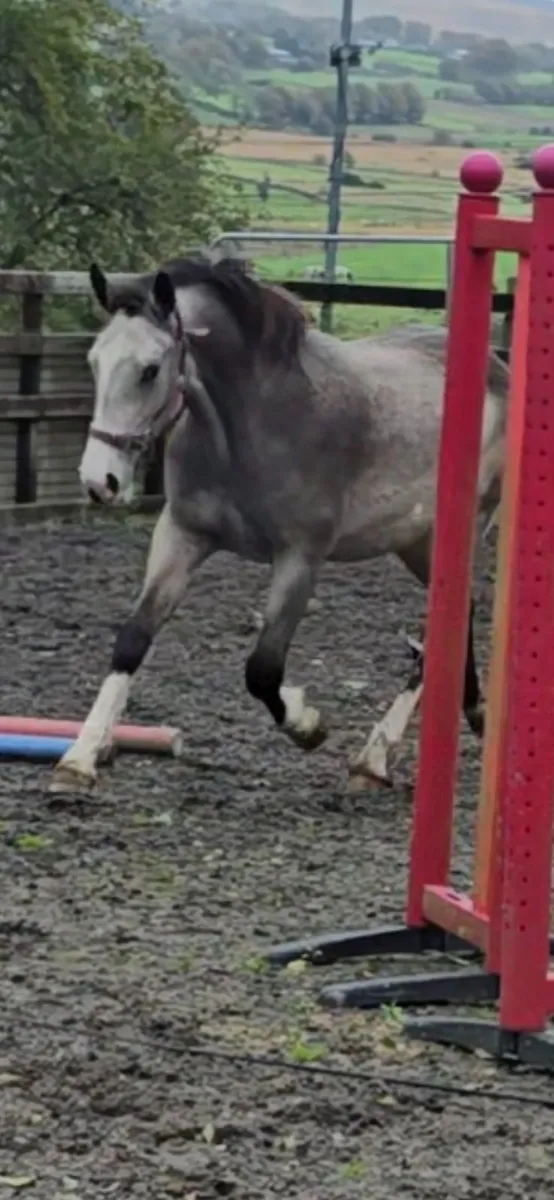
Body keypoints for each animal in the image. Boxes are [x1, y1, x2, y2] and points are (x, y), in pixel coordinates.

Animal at [49, 251, 506, 795]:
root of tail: (498, 367)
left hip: (455, 533)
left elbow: (263, 669)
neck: (251, 423)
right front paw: (77, 760)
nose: (100, 482)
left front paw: (308, 724)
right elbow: (133, 639)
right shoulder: (182, 534)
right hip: (415, 542)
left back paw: (392, 749)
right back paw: (412, 741)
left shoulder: (300, 557)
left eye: (150, 370)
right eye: (94, 361)